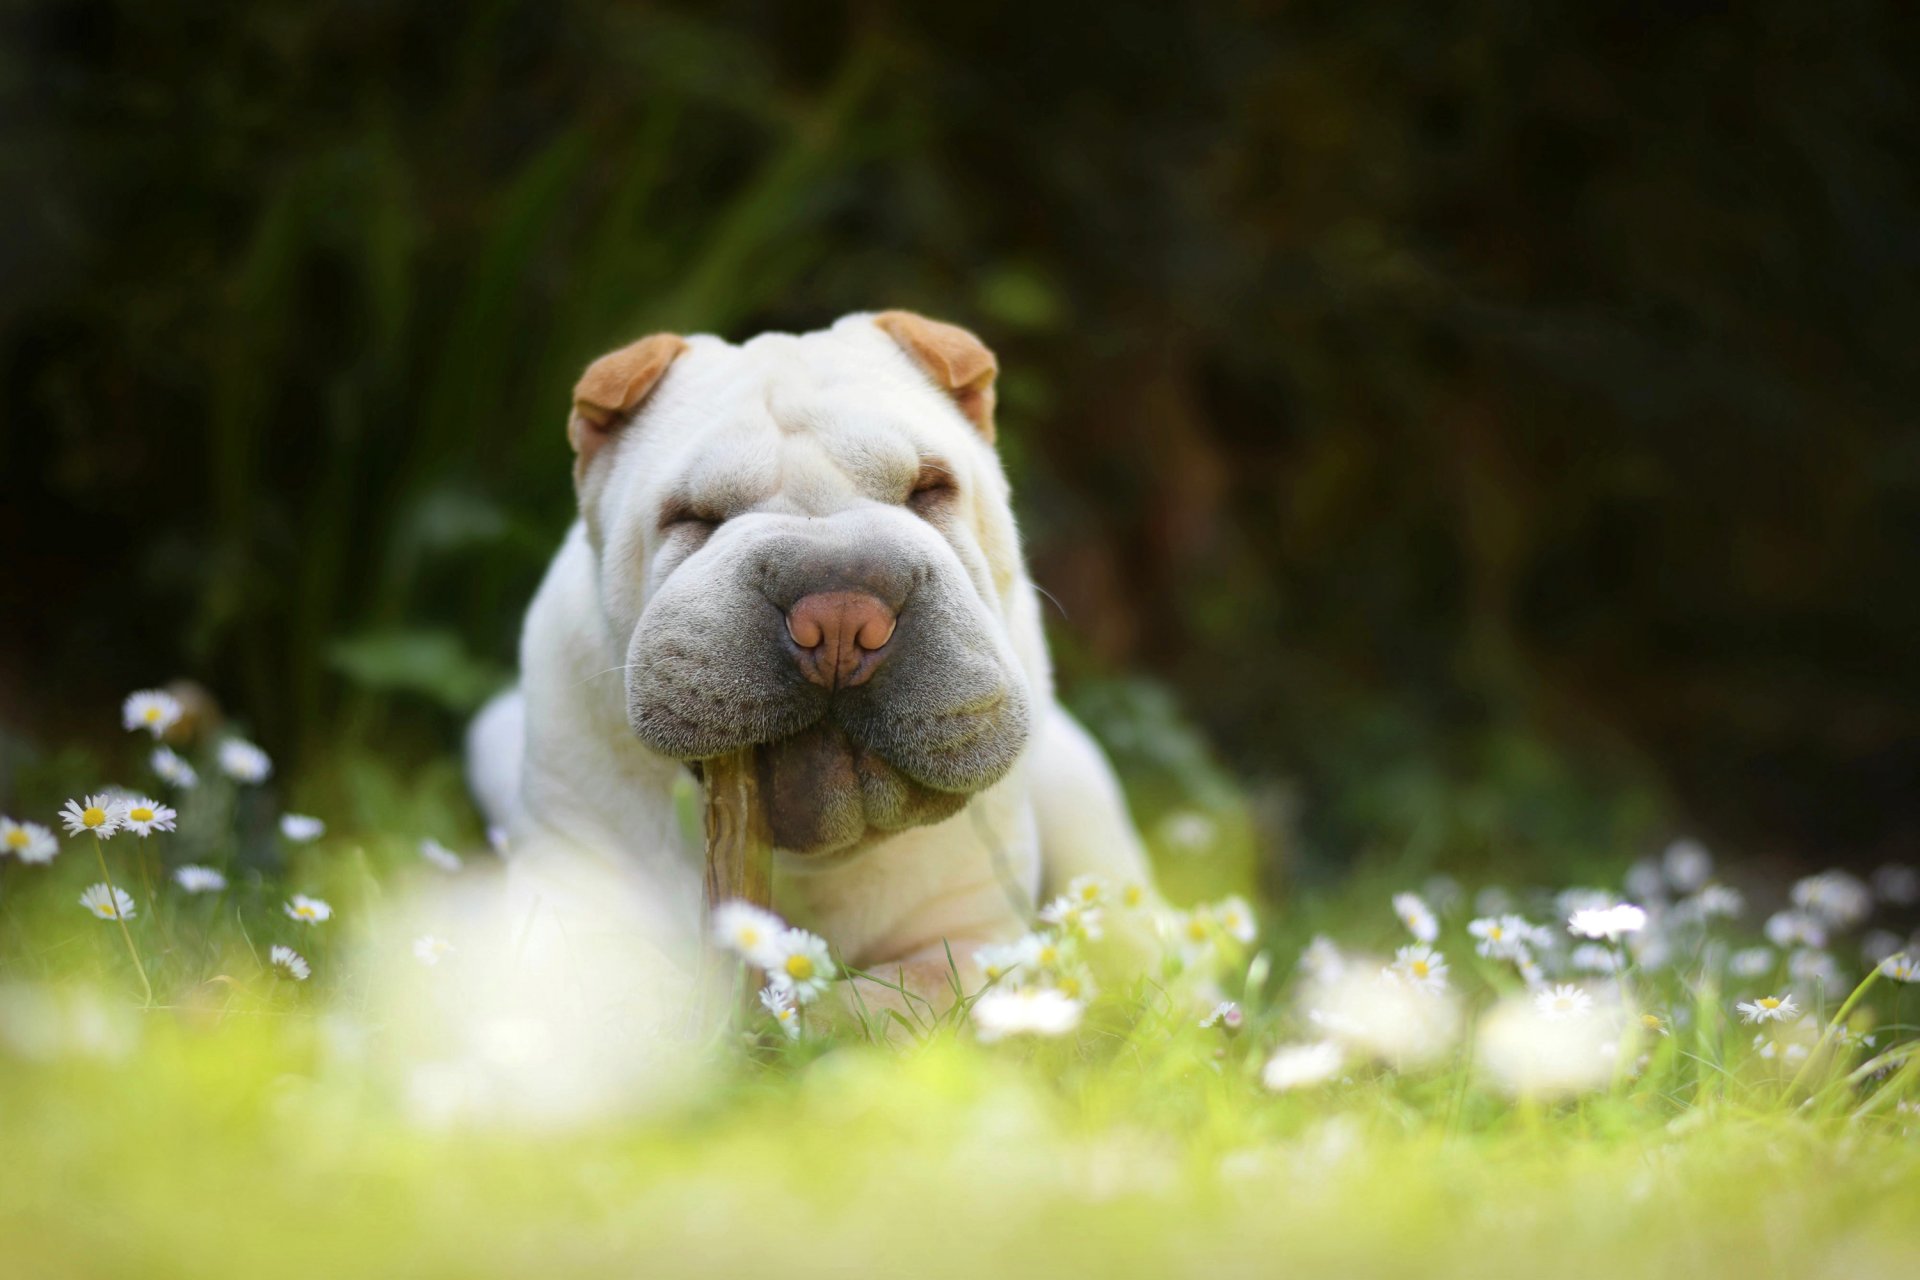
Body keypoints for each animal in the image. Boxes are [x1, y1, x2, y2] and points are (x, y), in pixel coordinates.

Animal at [468, 310, 1152, 1020]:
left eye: (929, 488)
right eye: (694, 517)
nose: (841, 618)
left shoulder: (972, 939)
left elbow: (888, 1003)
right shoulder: (573, 912)